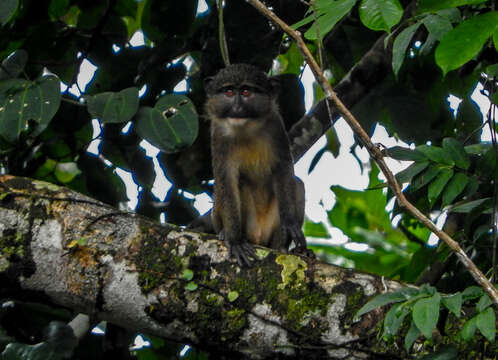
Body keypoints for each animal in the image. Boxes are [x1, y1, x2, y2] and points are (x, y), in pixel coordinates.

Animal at [202, 64, 312, 268]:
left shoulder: (276, 126)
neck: (246, 128)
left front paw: (290, 224)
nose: (237, 108)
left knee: (298, 185)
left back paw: (285, 248)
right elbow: (226, 181)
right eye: (229, 92)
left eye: (246, 92)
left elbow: (283, 169)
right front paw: (235, 241)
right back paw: (226, 234)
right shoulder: (218, 135)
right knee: (237, 185)